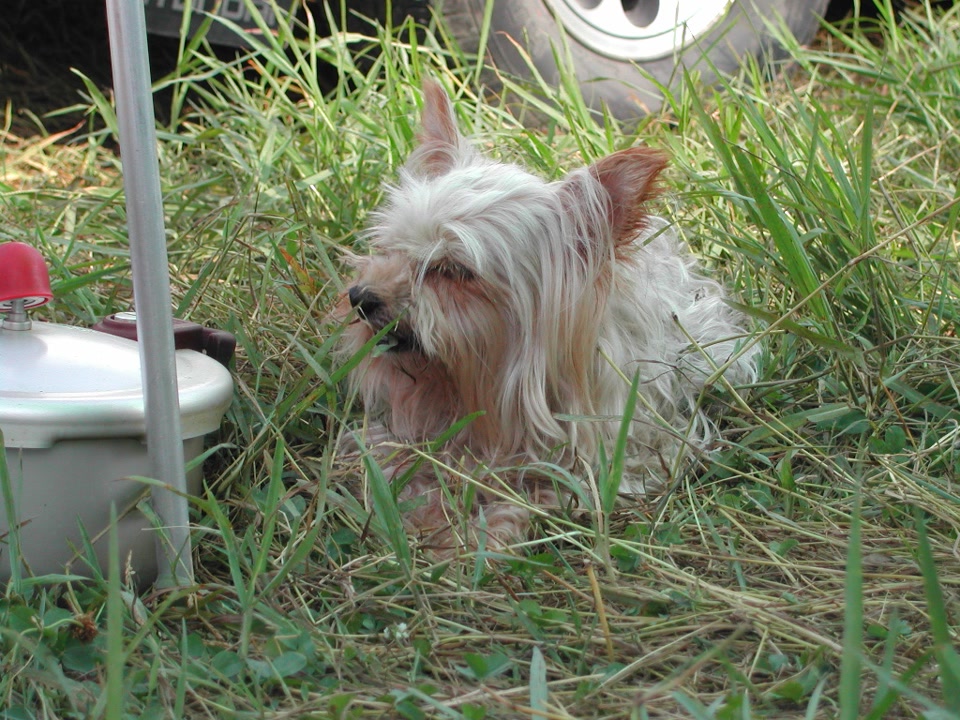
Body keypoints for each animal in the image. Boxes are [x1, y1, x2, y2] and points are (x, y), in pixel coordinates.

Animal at [337, 81, 758, 554]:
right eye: (390, 250)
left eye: (453, 270)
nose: (361, 297)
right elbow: (394, 461)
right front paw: (424, 509)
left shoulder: (628, 457)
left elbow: (541, 493)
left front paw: (482, 531)